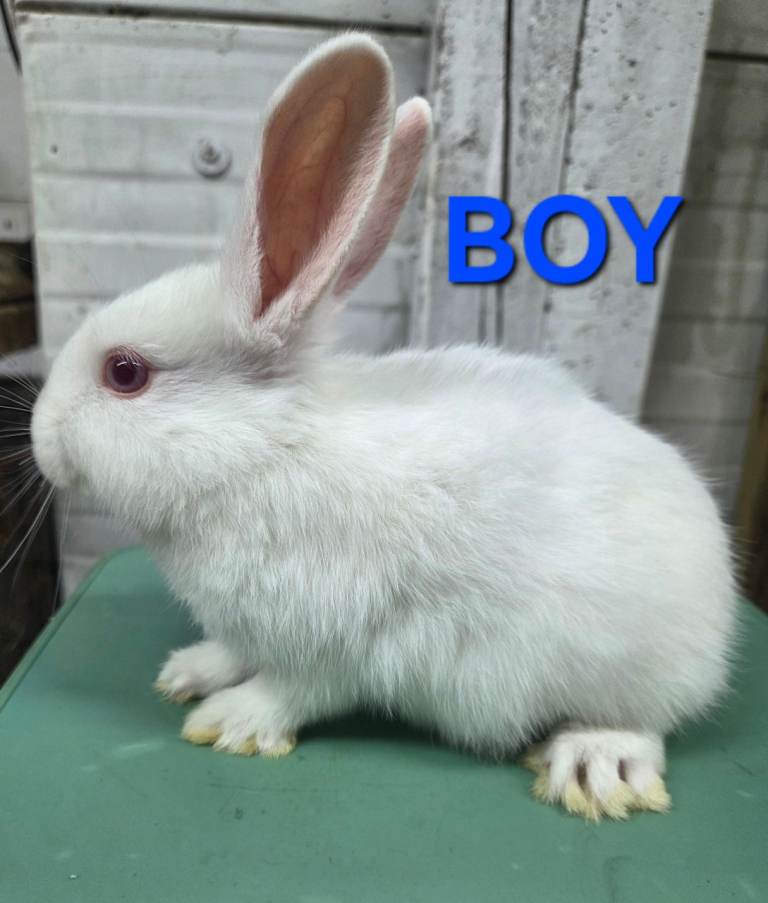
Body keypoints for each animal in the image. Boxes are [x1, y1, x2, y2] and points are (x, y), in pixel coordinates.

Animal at [31, 34, 737, 821]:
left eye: (125, 373)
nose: (39, 436)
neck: (261, 452)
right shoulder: (257, 626)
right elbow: (236, 652)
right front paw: (191, 671)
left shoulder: (336, 638)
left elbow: (296, 689)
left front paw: (231, 721)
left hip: (627, 663)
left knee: (646, 721)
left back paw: (594, 765)